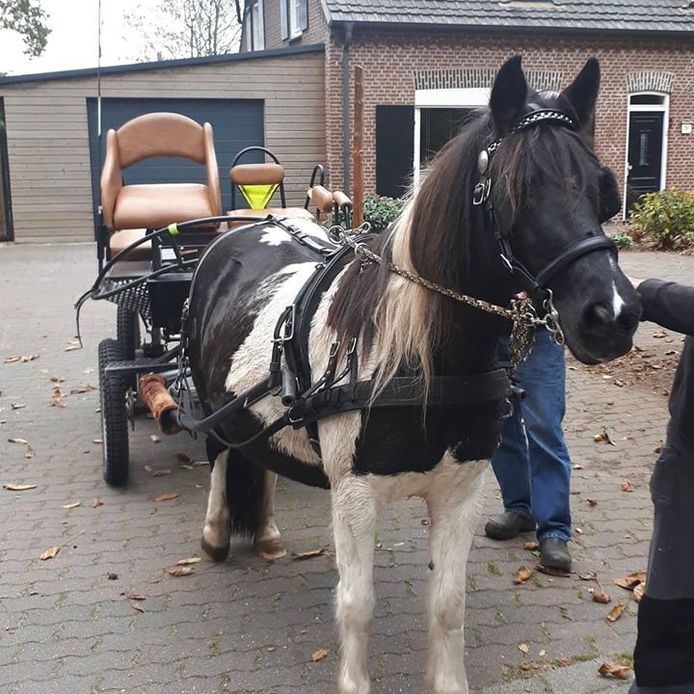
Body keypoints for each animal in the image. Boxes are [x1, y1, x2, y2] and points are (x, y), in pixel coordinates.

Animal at [188, 57, 644, 692]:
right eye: (517, 191)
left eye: (605, 190)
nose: (614, 316)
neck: (420, 359)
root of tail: (245, 229)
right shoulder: (354, 496)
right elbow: (356, 604)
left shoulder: (460, 492)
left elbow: (449, 603)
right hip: (212, 405)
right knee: (220, 453)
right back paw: (213, 535)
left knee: (261, 457)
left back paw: (271, 535)